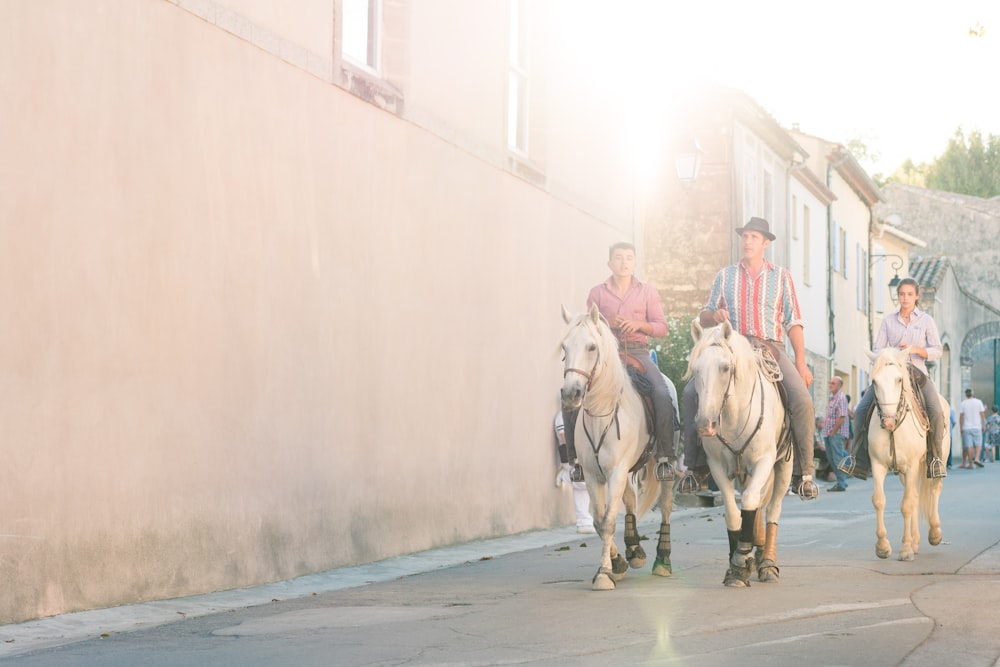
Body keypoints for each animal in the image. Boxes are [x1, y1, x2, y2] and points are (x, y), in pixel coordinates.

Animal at [560, 306, 676, 592]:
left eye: (591, 346)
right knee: (630, 501)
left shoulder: (615, 472)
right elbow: (599, 520)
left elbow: (609, 520)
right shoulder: (594, 475)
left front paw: (604, 573)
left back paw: (662, 560)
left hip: (664, 466)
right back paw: (634, 551)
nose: (570, 394)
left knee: (666, 506)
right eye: (564, 347)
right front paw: (617, 563)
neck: (601, 413)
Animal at [684, 320, 792, 588]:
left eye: (725, 367)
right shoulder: (717, 467)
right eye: (696, 368)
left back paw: (767, 563)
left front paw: (743, 556)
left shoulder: (764, 462)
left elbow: (751, 502)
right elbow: (734, 514)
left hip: (784, 467)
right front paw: (736, 568)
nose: (705, 424)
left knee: (772, 509)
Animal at [864, 350, 940, 564]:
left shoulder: (913, 465)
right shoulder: (878, 465)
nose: (888, 422)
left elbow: (906, 505)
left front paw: (905, 549)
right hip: (904, 474)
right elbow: (879, 500)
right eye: (874, 381)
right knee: (914, 496)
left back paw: (934, 534)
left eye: (899, 379)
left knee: (934, 490)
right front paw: (883, 547)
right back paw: (915, 541)